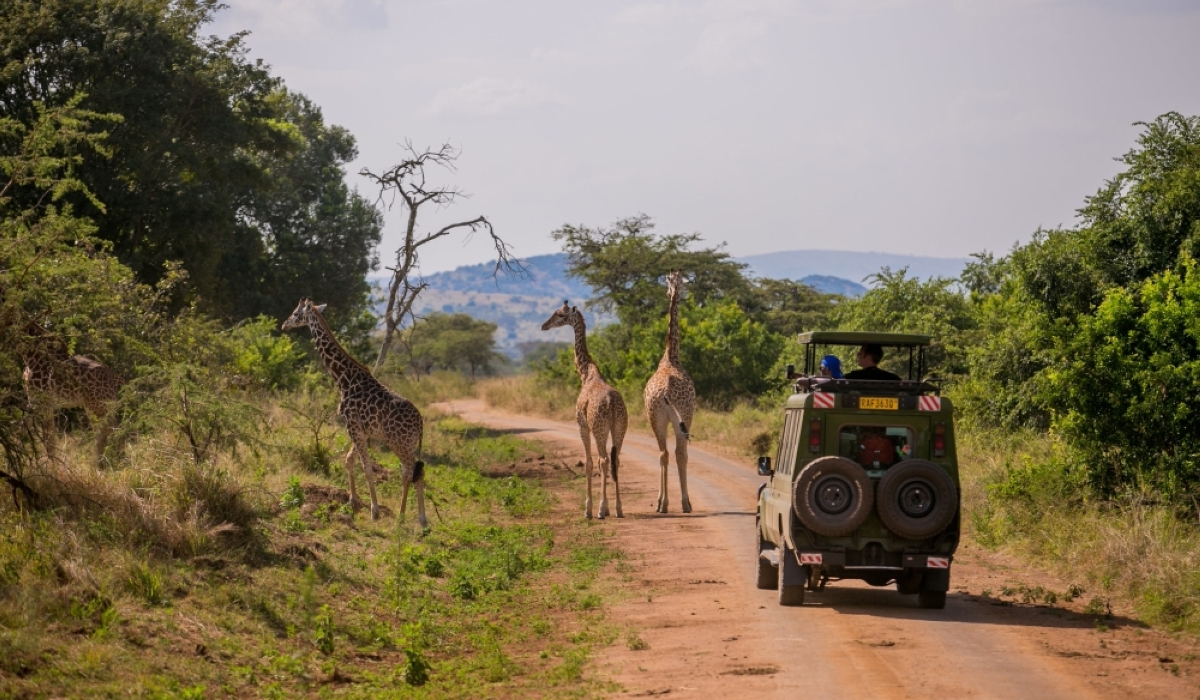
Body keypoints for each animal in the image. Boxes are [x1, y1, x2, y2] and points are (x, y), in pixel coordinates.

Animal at [20, 319, 124, 465]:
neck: (29, 356)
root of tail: (116, 378)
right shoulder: (34, 402)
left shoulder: (44, 404)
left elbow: (49, 440)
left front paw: (53, 467)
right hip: (105, 406)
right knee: (115, 430)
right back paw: (116, 461)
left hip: (96, 406)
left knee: (104, 433)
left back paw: (98, 464)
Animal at [280, 300, 427, 525]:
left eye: (296, 313)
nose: (284, 325)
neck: (343, 378)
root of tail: (420, 422)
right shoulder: (361, 430)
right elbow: (349, 461)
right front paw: (353, 501)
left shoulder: (352, 425)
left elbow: (366, 468)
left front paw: (374, 511)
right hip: (409, 443)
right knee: (415, 471)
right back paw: (414, 518)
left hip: (398, 442)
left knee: (410, 470)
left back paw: (411, 518)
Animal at [537, 301, 624, 521]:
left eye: (560, 315)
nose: (544, 325)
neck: (586, 374)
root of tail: (612, 403)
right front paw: (607, 508)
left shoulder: (582, 425)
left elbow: (589, 463)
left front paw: (589, 509)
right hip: (619, 429)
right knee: (615, 460)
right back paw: (619, 509)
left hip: (600, 429)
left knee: (603, 460)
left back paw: (600, 510)